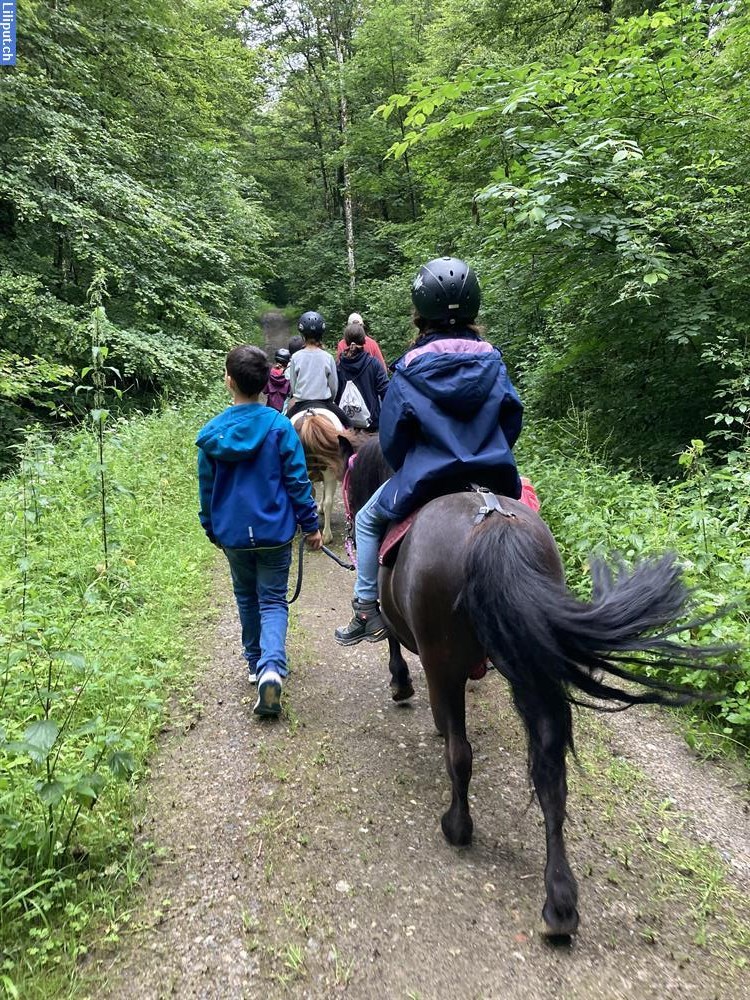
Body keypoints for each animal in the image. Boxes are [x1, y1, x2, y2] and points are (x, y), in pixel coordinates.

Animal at [344, 438, 724, 936]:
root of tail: (490, 522)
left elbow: (396, 648)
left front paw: (400, 685)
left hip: (449, 659)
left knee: (461, 754)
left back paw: (457, 826)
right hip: (531, 663)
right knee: (550, 771)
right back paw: (560, 901)